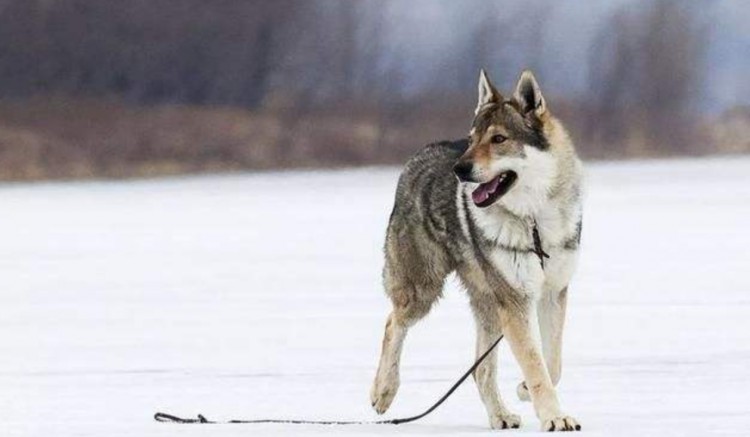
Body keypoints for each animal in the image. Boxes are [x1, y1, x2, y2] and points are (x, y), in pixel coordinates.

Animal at [372, 70, 588, 430]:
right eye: (473, 138)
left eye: (499, 139)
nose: (460, 169)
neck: (534, 222)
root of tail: (422, 152)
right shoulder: (515, 302)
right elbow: (536, 365)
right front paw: (555, 417)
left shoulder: (552, 292)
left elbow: (552, 364)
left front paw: (526, 389)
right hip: (423, 291)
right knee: (393, 323)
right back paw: (383, 392)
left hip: (488, 305)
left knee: (480, 367)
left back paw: (500, 416)